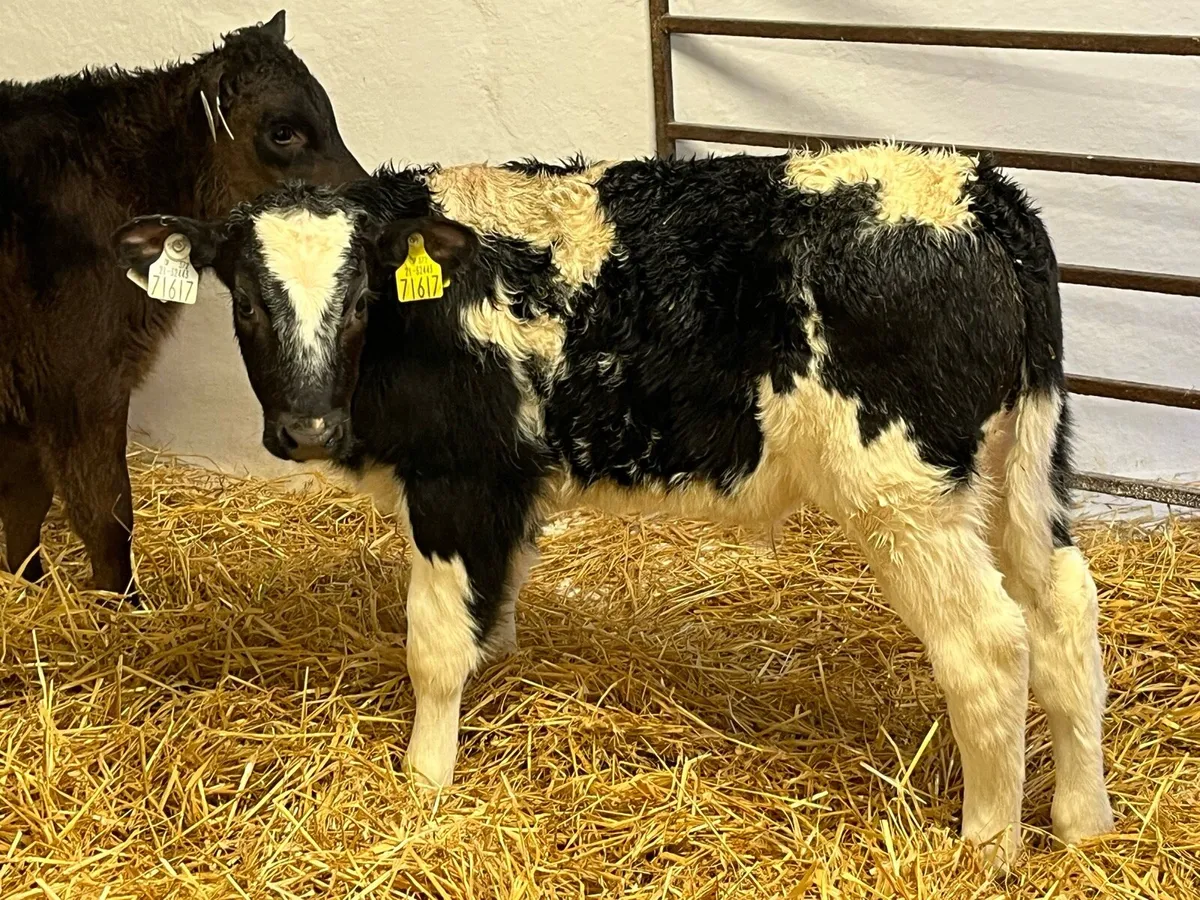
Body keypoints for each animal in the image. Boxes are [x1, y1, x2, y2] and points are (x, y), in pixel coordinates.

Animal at [0, 10, 366, 599]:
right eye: (282, 132)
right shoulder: (79, 379)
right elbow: (106, 513)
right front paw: (123, 609)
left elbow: (26, 501)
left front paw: (27, 587)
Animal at [112, 145, 1114, 867]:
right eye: (245, 302)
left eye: (360, 299)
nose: (308, 426)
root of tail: (978, 192)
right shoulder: (509, 488)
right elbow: (491, 614)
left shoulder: (455, 480)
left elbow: (434, 646)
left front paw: (424, 781)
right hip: (1025, 463)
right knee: (1064, 611)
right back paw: (1082, 820)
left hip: (905, 495)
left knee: (990, 645)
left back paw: (987, 847)